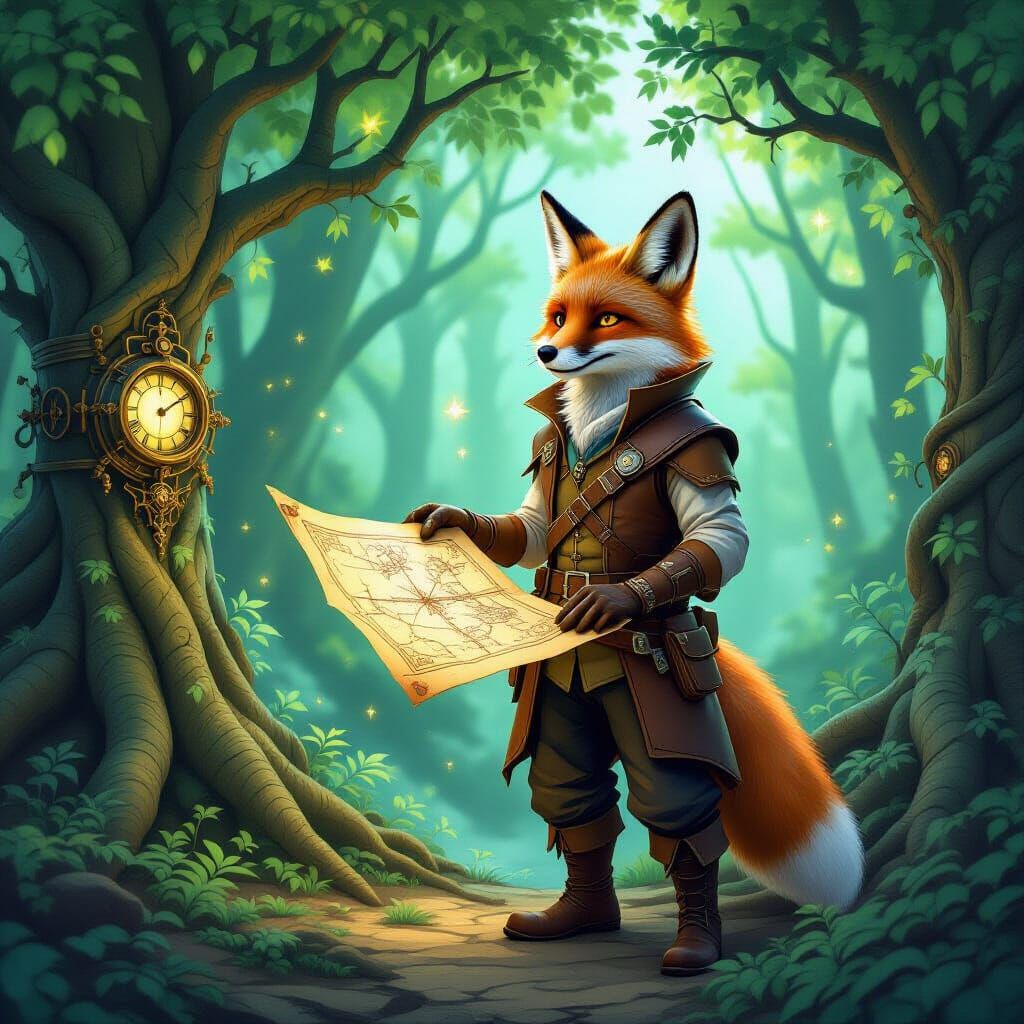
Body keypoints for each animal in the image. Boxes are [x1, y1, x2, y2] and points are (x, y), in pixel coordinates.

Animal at [408, 190, 863, 972]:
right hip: (559, 712)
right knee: (574, 798)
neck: (601, 424)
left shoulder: (704, 461)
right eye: (559, 314)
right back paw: (581, 917)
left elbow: (719, 542)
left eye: (608, 320)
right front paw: (448, 520)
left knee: (678, 814)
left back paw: (695, 942)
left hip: (660, 717)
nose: (546, 353)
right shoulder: (544, 479)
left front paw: (612, 597)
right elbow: (527, 530)